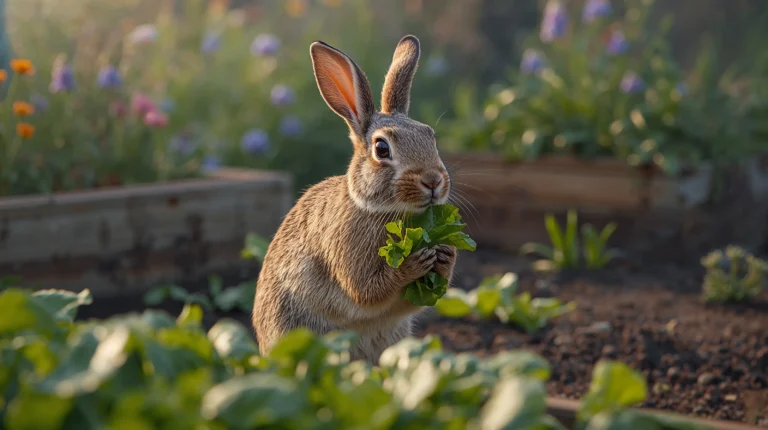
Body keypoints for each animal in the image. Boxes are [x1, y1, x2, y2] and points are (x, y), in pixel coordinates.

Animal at [252, 35, 457, 363]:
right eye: (382, 149)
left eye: (431, 136)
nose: (433, 181)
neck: (380, 209)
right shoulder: (348, 257)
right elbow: (368, 291)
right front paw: (413, 263)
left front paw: (447, 253)